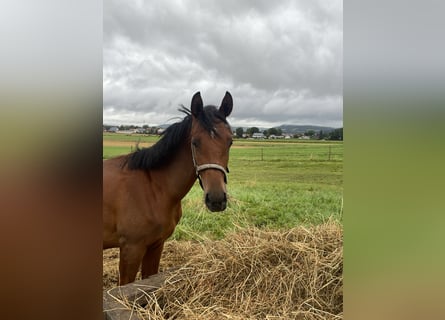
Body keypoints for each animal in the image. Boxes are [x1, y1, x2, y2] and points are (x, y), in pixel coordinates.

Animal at [103, 91, 234, 284]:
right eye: (195, 142)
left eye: (230, 142)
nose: (216, 199)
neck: (153, 188)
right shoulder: (131, 249)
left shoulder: (156, 245)